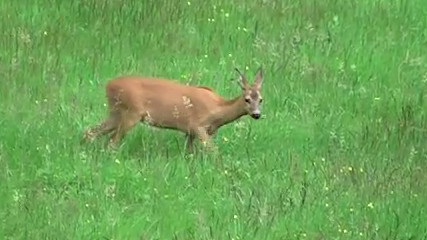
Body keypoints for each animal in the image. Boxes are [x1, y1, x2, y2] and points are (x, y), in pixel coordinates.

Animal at [82, 66, 264, 152]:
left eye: (261, 99)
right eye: (247, 99)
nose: (256, 114)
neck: (218, 109)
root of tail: (108, 86)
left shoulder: (190, 132)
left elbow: (190, 153)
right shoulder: (198, 126)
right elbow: (214, 151)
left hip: (116, 112)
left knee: (91, 132)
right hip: (131, 113)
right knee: (112, 141)